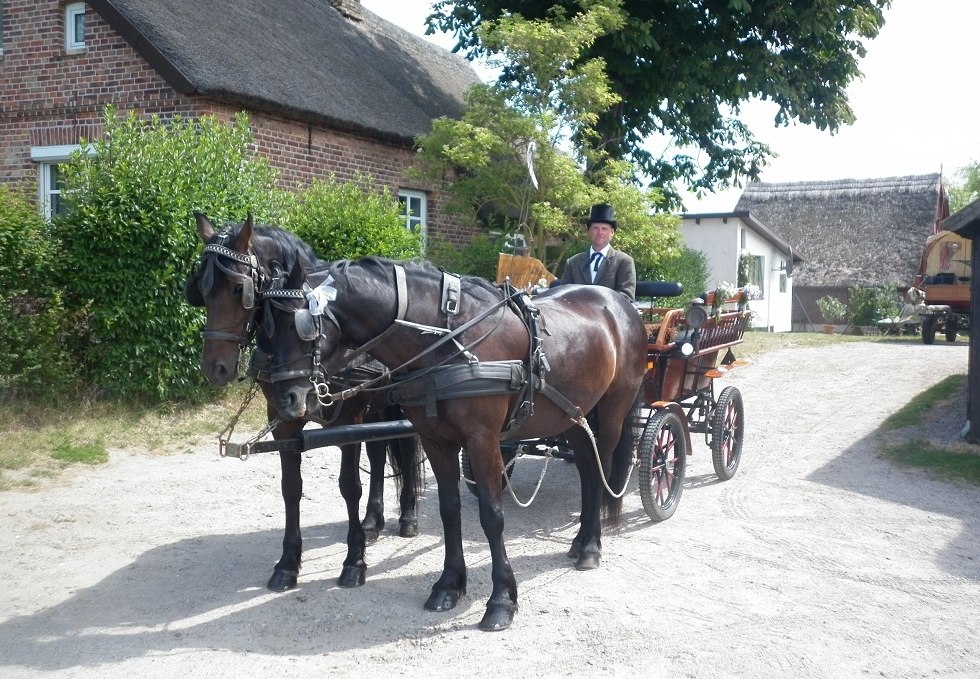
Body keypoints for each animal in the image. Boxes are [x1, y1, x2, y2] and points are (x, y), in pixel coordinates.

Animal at [186, 215, 424, 592]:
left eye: (239, 289)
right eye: (201, 289)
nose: (215, 368)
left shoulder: (349, 421)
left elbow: (349, 487)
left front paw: (354, 562)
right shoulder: (284, 420)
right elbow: (291, 489)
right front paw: (287, 563)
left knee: (408, 445)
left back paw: (409, 516)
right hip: (376, 407)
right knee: (379, 452)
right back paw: (373, 521)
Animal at [264, 256, 648, 632]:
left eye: (299, 325)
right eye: (266, 323)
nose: (286, 399)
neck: (448, 337)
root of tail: (621, 305)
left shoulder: (482, 441)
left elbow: (492, 516)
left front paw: (501, 601)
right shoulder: (436, 441)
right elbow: (450, 510)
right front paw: (449, 586)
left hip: (611, 411)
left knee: (600, 472)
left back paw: (591, 547)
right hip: (573, 415)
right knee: (586, 468)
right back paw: (580, 540)